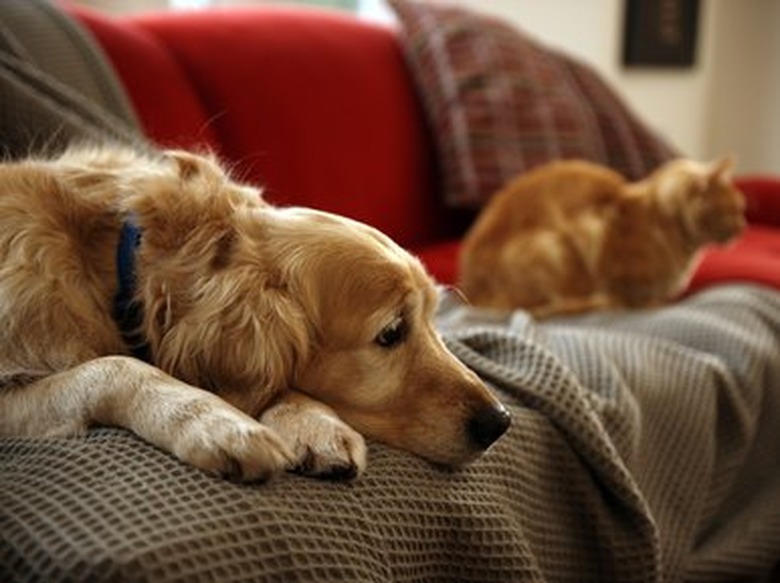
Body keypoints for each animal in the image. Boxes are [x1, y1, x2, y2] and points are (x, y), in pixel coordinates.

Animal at [0, 147, 508, 484]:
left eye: (433, 317)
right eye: (391, 333)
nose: (500, 422)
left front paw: (313, 423)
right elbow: (114, 368)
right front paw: (218, 424)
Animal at [460, 157, 748, 318]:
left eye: (741, 209)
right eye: (733, 210)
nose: (743, 227)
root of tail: (472, 293)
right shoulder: (603, 245)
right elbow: (631, 295)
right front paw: (647, 303)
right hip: (551, 247)